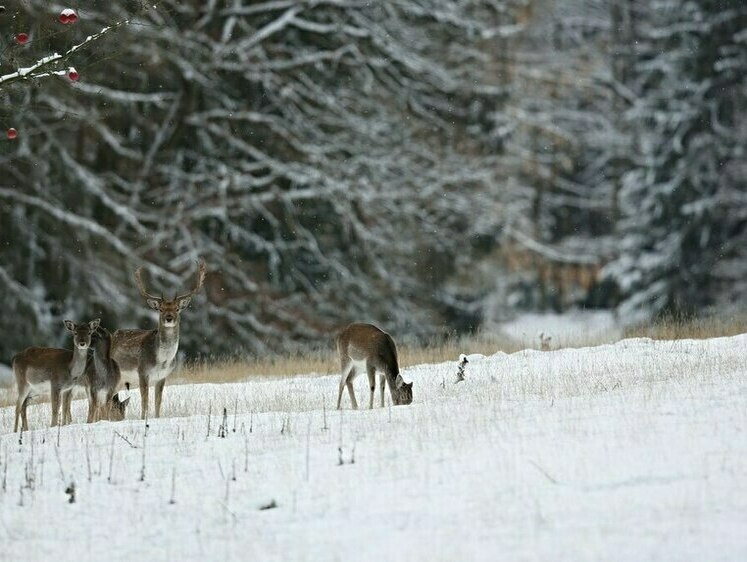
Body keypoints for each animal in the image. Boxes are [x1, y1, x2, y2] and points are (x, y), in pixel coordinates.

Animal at [111, 258, 206, 416]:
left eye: (177, 308)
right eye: (161, 309)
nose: (169, 318)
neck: (162, 360)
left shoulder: (162, 376)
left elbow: (158, 402)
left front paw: (156, 417)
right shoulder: (142, 372)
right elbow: (145, 402)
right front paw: (143, 418)